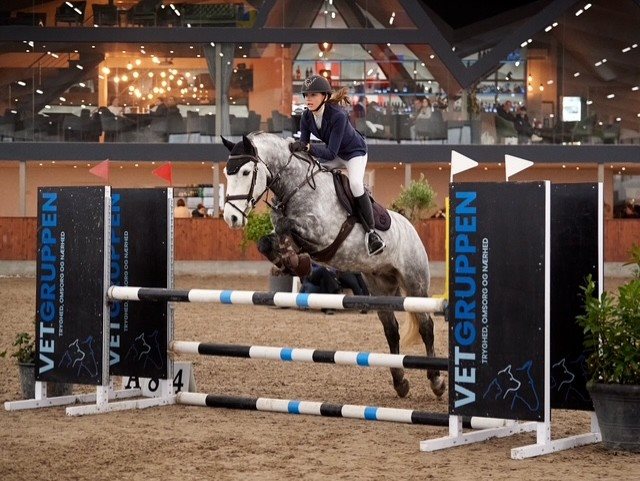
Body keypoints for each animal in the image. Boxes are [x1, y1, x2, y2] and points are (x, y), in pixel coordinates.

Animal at [221, 132, 445, 399]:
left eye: (245, 172)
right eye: (226, 173)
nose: (231, 218)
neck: (295, 187)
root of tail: (411, 227)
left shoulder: (321, 233)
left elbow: (287, 226)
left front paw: (296, 261)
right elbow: (267, 241)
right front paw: (289, 262)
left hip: (415, 282)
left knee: (426, 326)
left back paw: (436, 381)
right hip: (380, 285)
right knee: (391, 330)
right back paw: (400, 382)